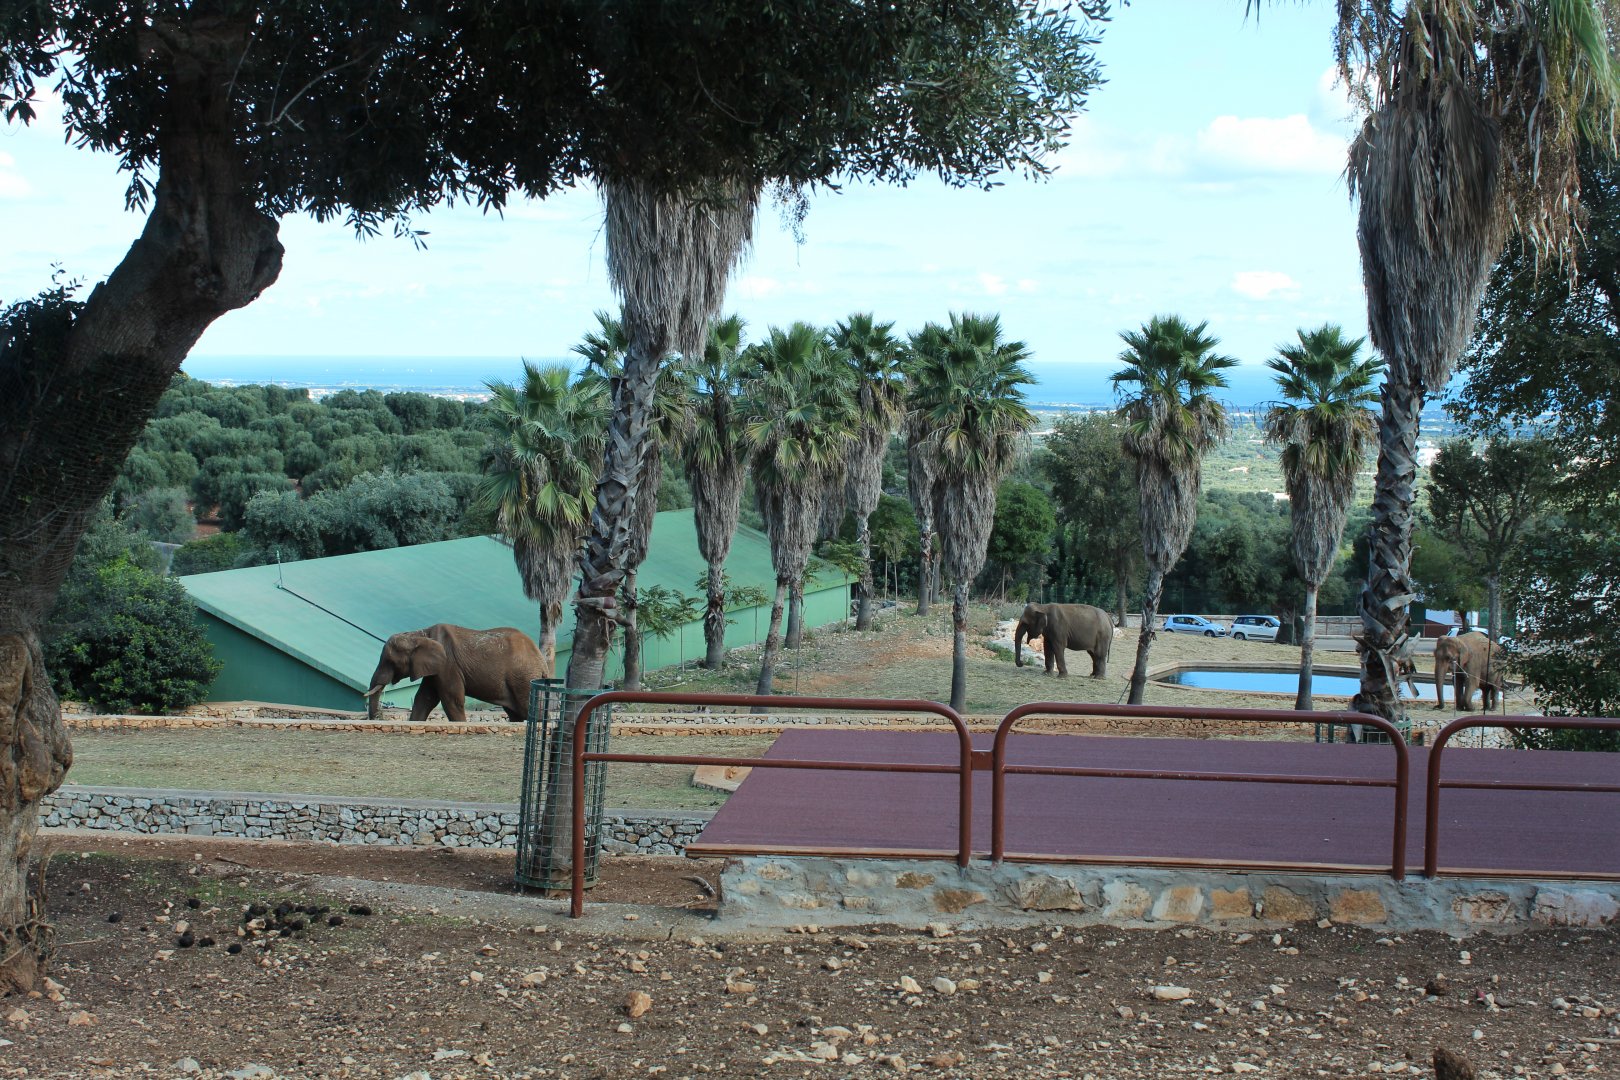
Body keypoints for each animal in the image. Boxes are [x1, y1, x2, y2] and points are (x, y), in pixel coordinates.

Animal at [363, 624, 546, 723]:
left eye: (389, 662)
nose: (378, 716)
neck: (420, 634)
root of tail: (541, 659)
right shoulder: (436, 668)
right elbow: (425, 698)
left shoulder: (448, 665)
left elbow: (452, 700)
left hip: (523, 678)